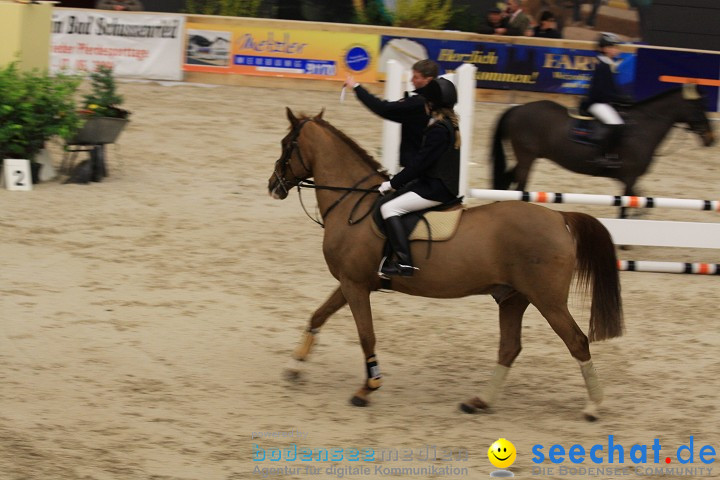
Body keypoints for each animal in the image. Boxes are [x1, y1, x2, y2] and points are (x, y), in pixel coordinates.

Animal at [268, 108, 620, 420]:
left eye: (287, 144)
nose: (273, 185)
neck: (354, 203)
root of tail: (559, 217)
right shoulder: (350, 281)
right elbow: (318, 315)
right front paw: (294, 366)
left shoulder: (355, 285)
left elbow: (366, 335)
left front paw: (368, 387)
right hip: (513, 298)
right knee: (509, 348)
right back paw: (479, 402)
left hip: (547, 300)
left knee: (576, 341)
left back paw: (593, 407)